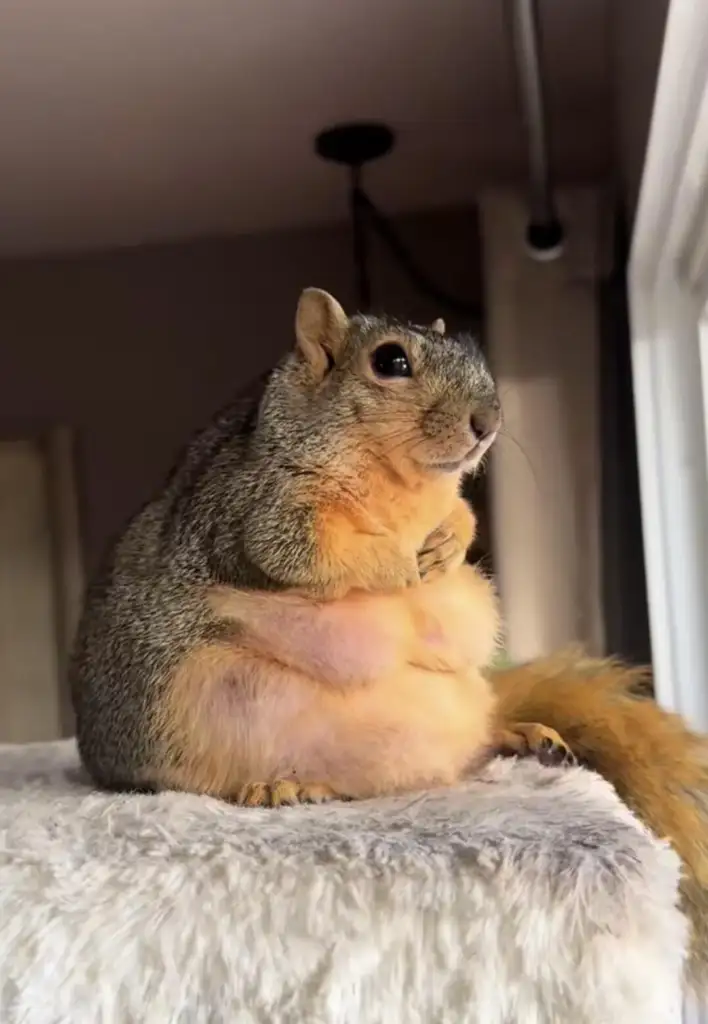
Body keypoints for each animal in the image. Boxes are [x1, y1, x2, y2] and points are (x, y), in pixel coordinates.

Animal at [70, 286, 708, 983]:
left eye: (470, 350)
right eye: (391, 362)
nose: (488, 420)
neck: (402, 484)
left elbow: (463, 516)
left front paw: (447, 544)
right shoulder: (255, 511)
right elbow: (304, 552)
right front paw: (402, 565)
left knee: (475, 741)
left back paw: (519, 735)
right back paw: (284, 785)